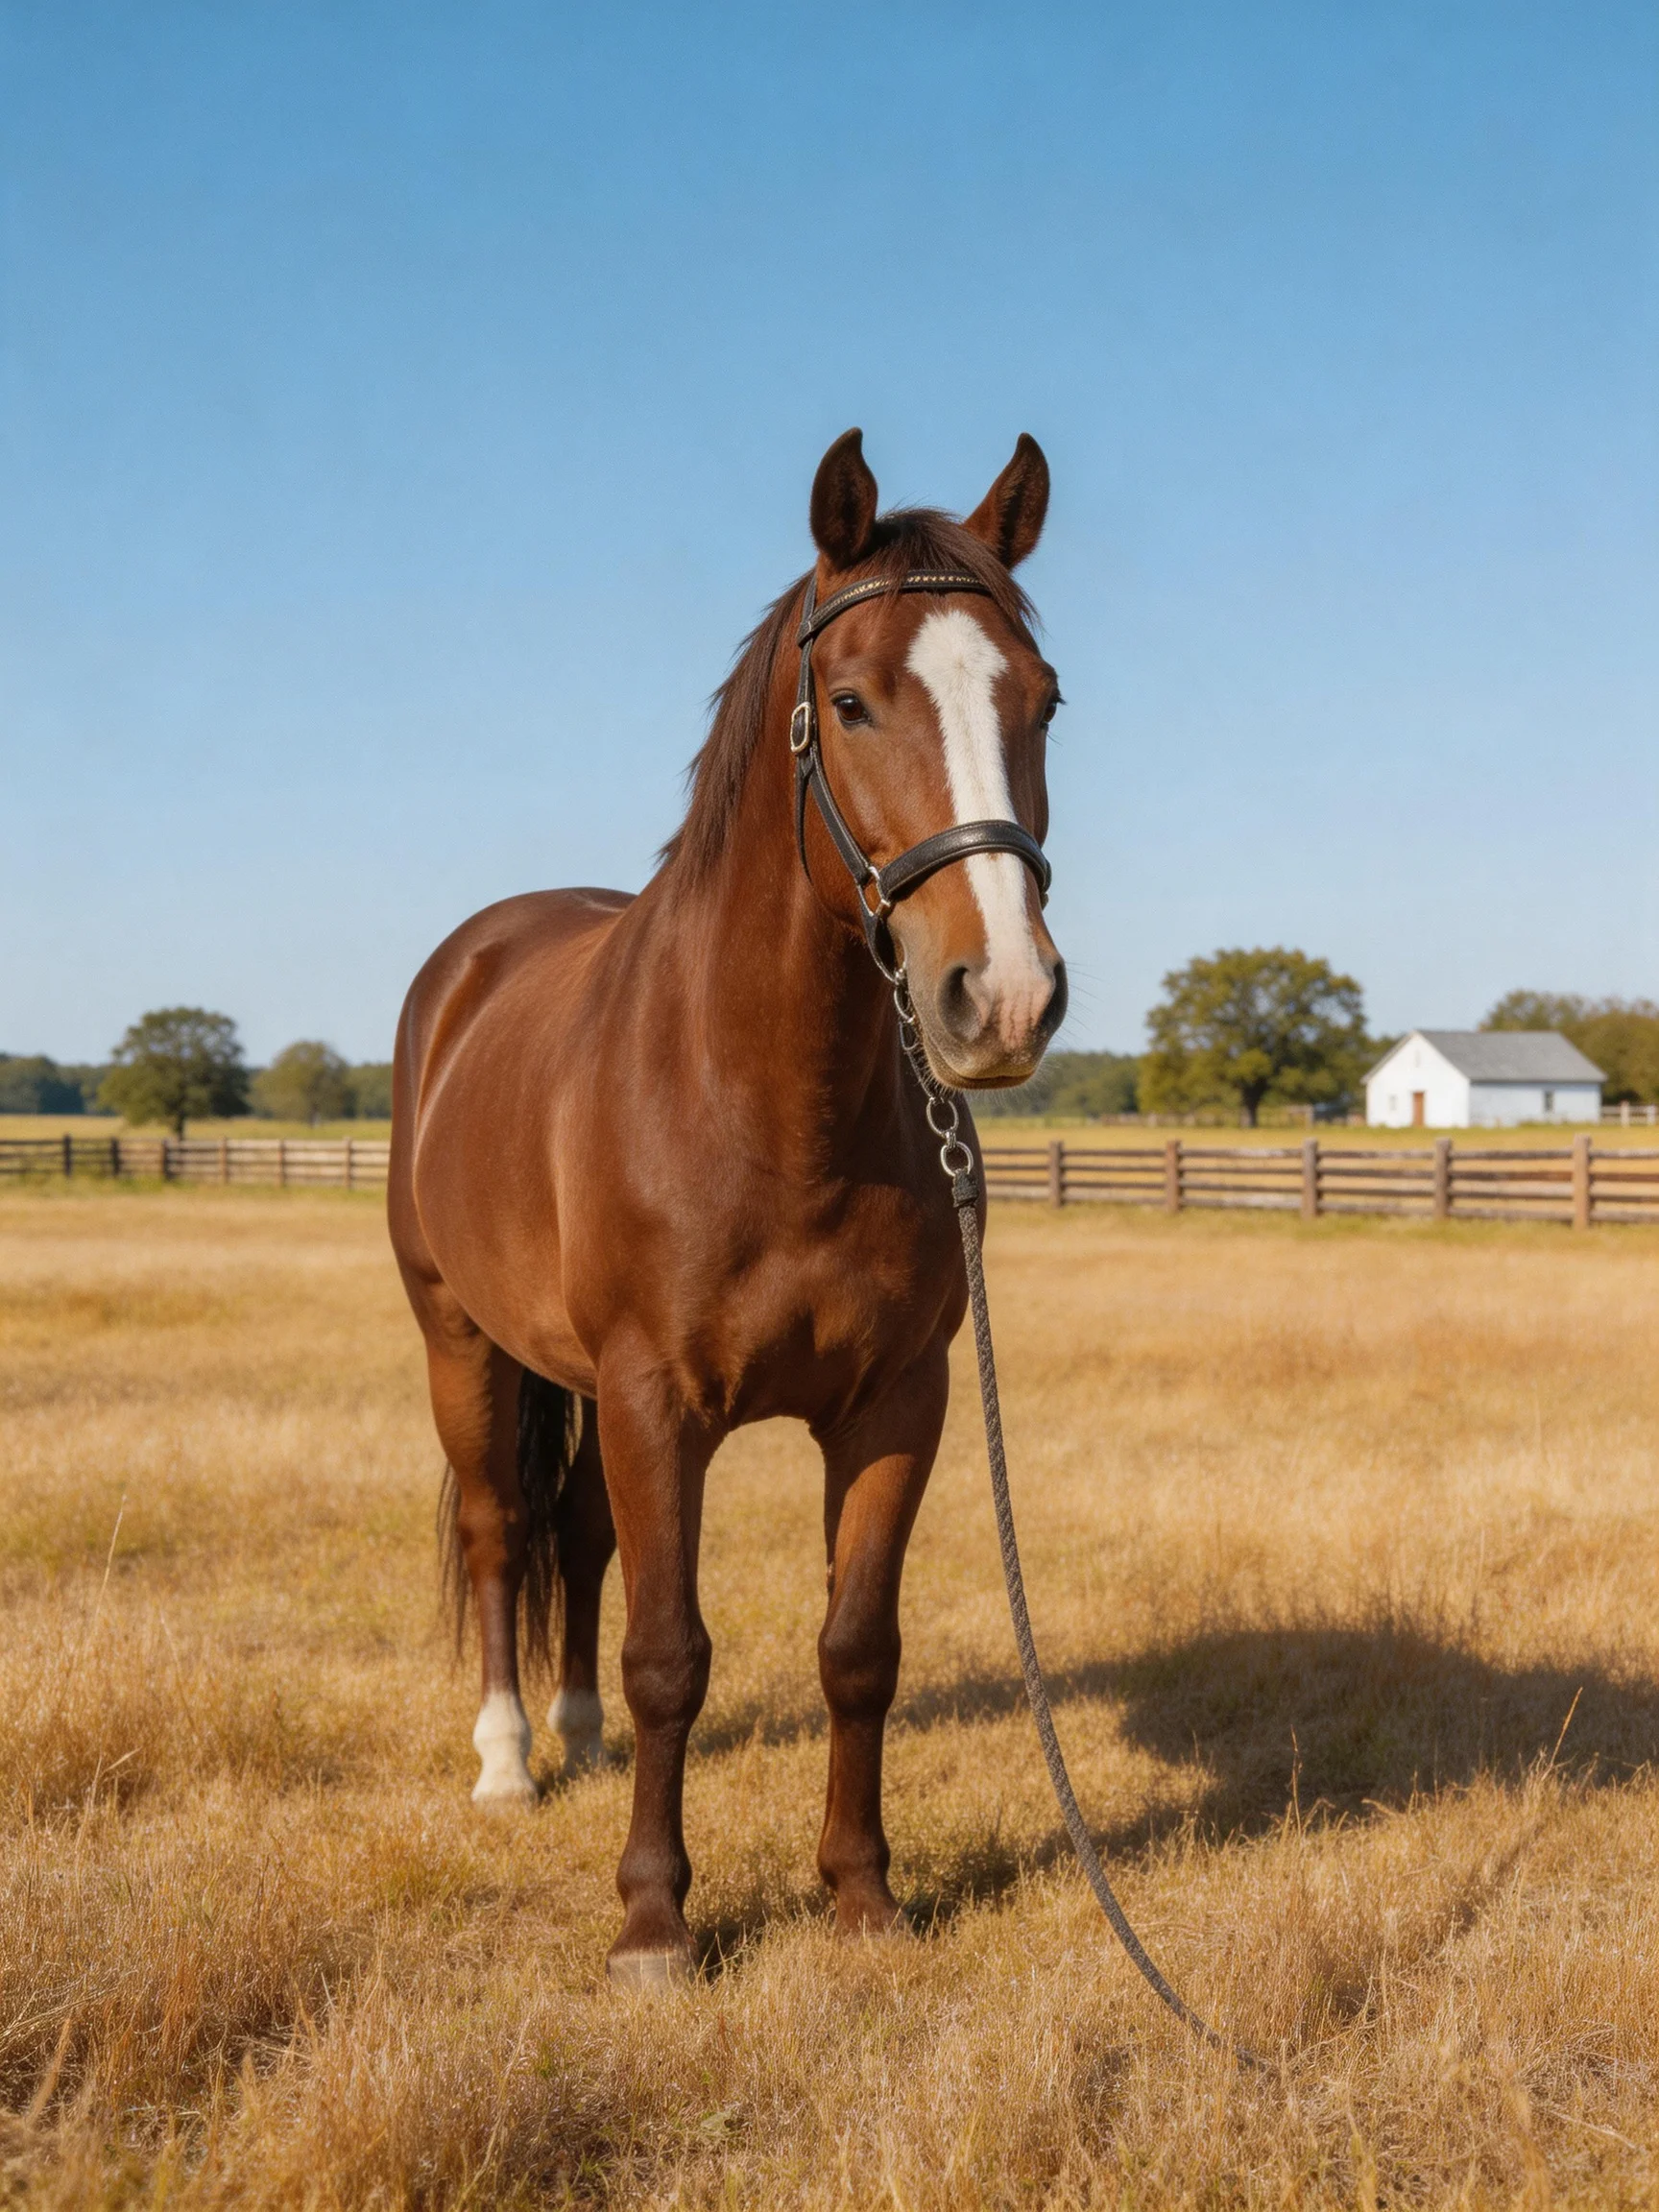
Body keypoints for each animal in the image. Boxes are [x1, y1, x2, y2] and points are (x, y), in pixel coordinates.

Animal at [389, 428, 1066, 1986]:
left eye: (1043, 700)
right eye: (852, 700)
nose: (1001, 998)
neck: (766, 1106)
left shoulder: (897, 1403)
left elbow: (856, 1649)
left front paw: (862, 1895)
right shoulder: (655, 1399)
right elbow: (671, 1656)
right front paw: (654, 1922)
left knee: (579, 1535)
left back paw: (573, 1736)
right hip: (465, 1343)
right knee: (505, 1529)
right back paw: (510, 1759)